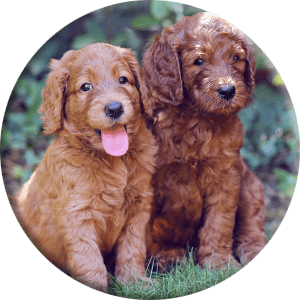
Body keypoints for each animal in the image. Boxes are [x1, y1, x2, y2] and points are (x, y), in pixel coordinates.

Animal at [11, 43, 157, 292]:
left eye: (123, 80)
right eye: (86, 87)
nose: (114, 108)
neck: (113, 159)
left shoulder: (139, 206)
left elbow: (132, 248)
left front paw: (135, 283)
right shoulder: (77, 215)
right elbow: (89, 262)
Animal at [143, 11, 268, 270]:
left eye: (236, 58)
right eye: (198, 61)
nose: (228, 91)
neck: (196, 118)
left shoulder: (226, 177)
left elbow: (219, 224)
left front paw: (220, 264)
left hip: (251, 186)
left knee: (251, 225)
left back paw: (253, 249)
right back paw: (169, 256)